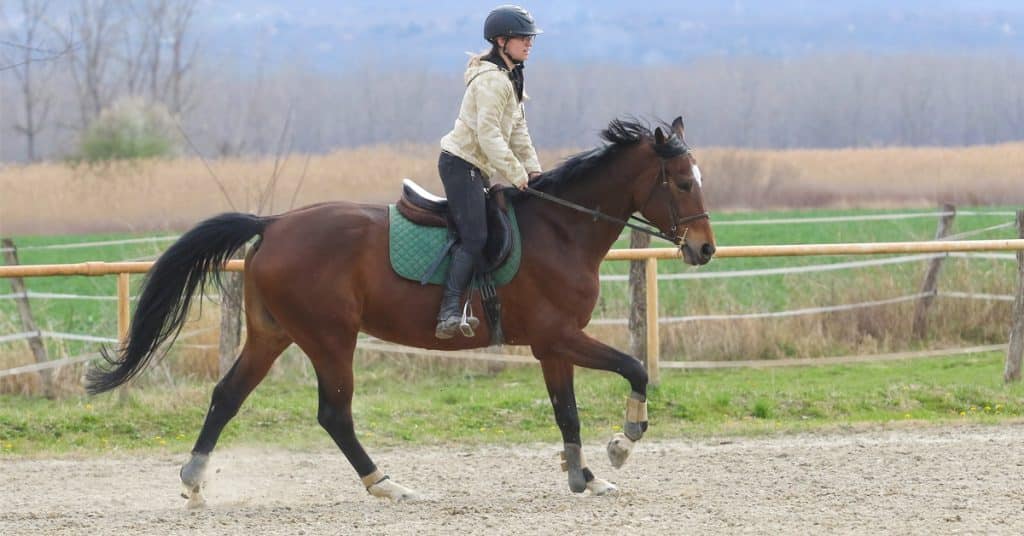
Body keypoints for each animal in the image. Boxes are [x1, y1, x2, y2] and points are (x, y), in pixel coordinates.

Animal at [87, 117, 716, 505]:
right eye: (683, 183)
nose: (704, 249)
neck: (561, 227)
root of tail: (274, 223)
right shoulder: (560, 336)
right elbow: (633, 370)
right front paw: (621, 445)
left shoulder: (551, 346)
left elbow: (568, 414)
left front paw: (584, 476)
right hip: (331, 339)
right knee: (334, 415)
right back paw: (387, 485)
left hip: (272, 335)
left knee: (226, 396)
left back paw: (195, 482)